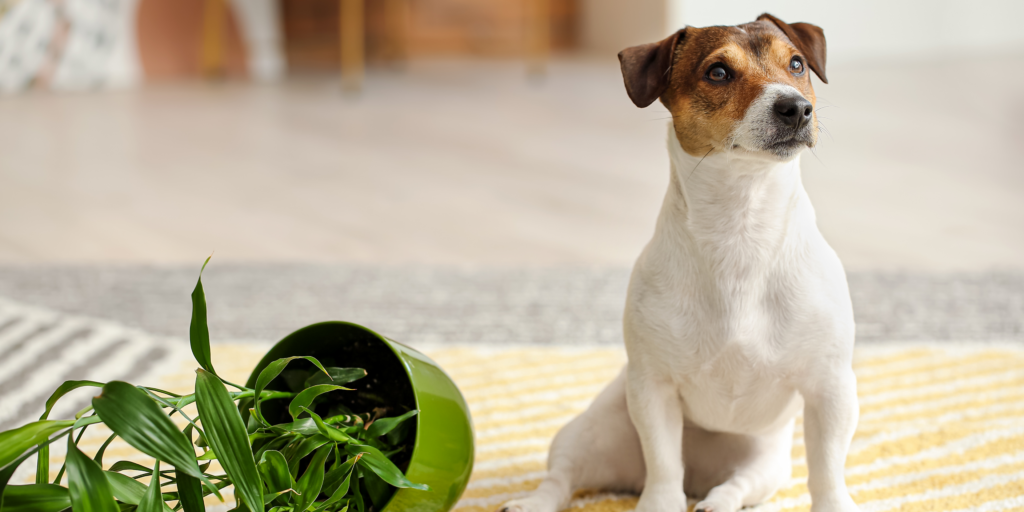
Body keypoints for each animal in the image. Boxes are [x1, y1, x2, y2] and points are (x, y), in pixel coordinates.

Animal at [495, 11, 856, 512]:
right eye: (718, 72)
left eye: (797, 64)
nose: (796, 107)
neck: (741, 224)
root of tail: (700, 474)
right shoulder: (653, 388)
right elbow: (664, 465)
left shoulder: (831, 388)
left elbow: (826, 472)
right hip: (593, 430)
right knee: (563, 476)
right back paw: (535, 502)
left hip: (764, 461)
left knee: (736, 486)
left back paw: (716, 502)